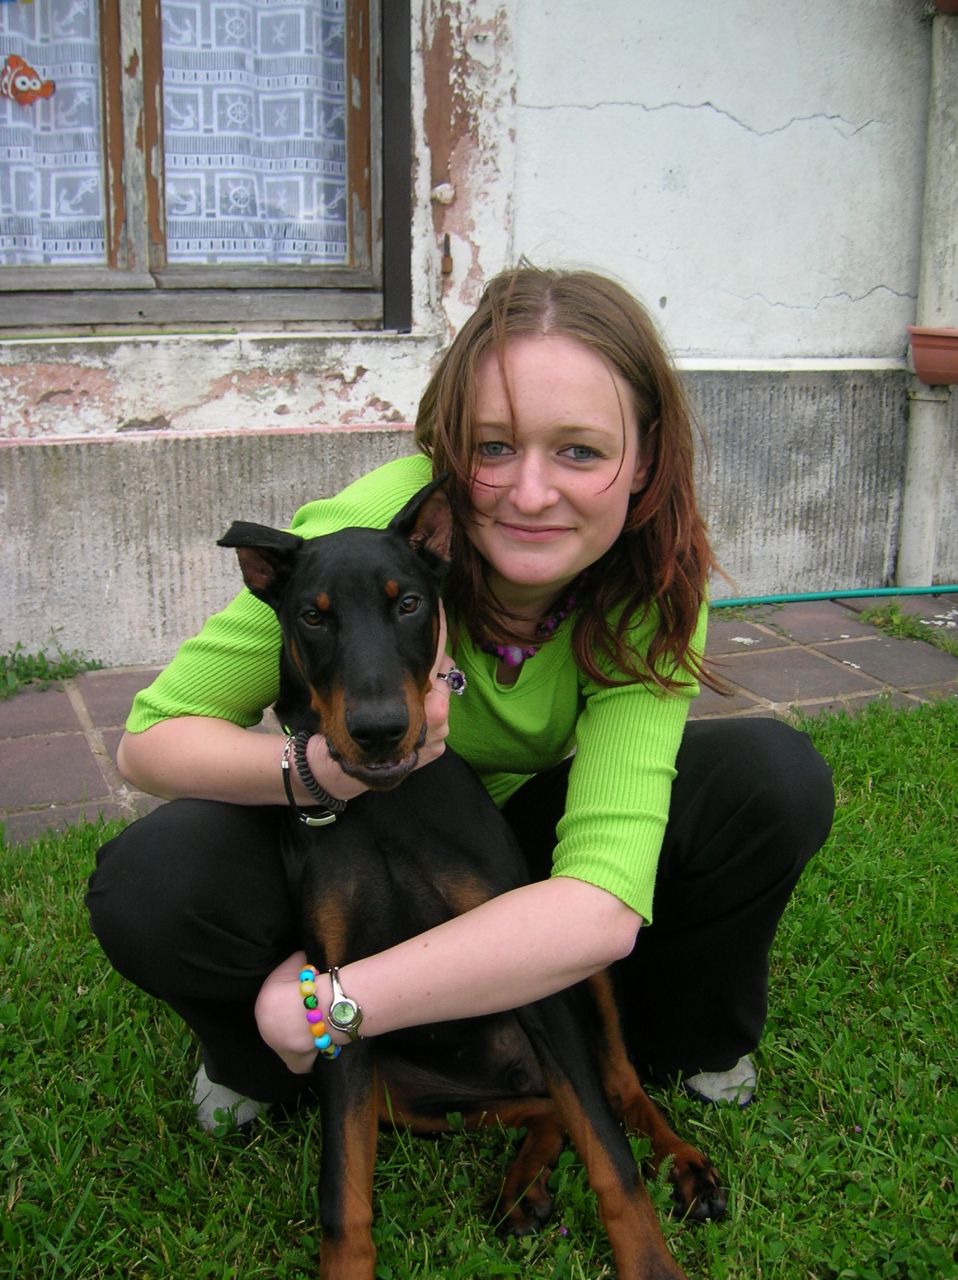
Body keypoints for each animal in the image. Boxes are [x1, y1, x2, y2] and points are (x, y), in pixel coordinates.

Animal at [218, 477, 724, 1279]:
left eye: (407, 603)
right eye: (313, 616)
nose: (380, 731)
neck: (386, 805)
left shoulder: (535, 970)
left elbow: (611, 1153)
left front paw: (649, 1263)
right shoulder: (335, 1010)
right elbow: (342, 1202)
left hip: (584, 981)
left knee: (616, 1090)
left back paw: (683, 1163)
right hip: (407, 1092)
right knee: (544, 1109)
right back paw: (524, 1188)